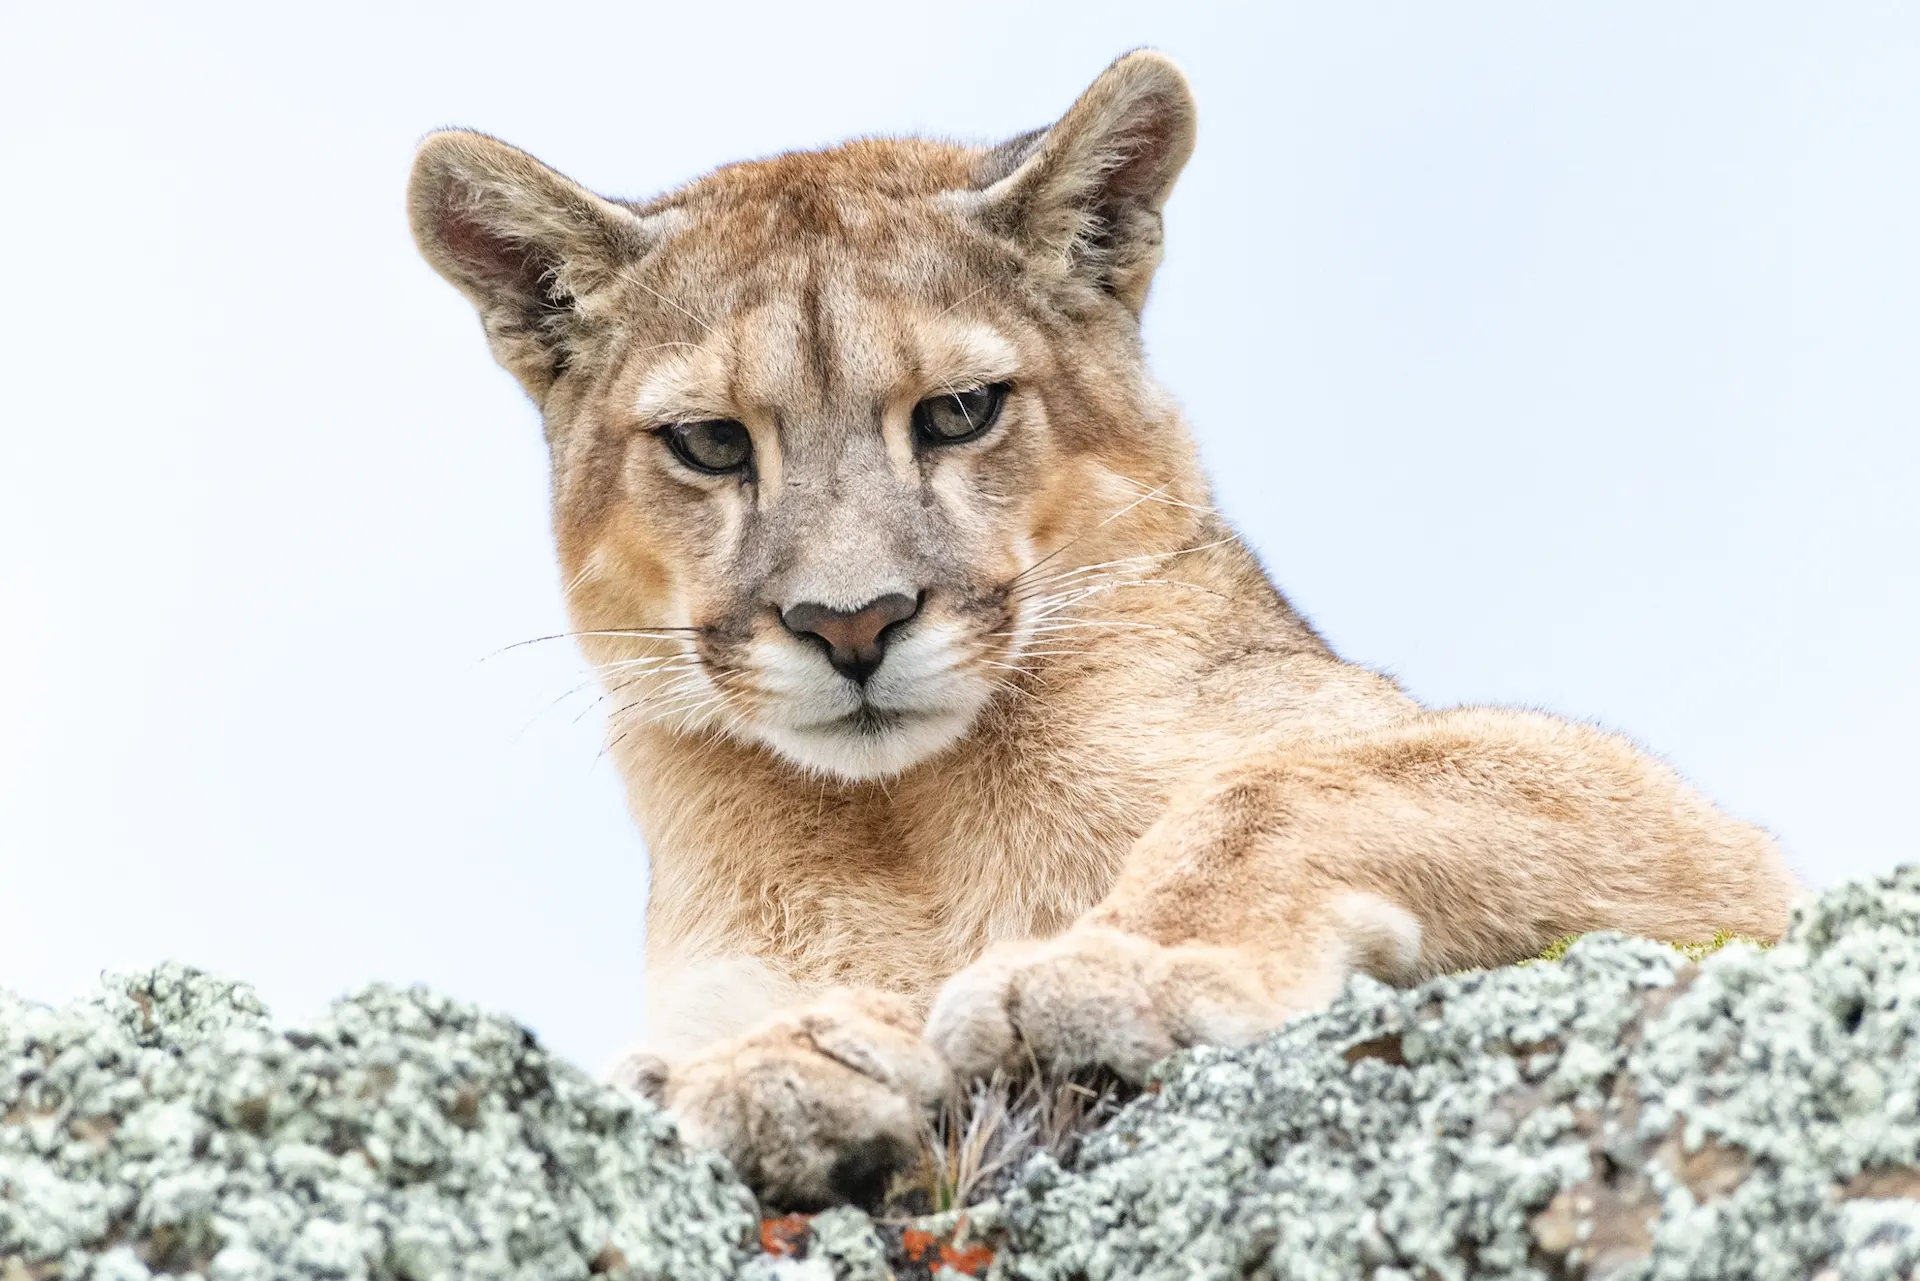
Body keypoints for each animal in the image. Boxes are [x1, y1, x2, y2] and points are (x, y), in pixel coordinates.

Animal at [407, 51, 1797, 1210]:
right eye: (707, 443)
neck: (905, 828)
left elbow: (1283, 787)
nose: (852, 623)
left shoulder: (1709, 849)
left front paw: (1114, 965)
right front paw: (768, 1067)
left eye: (960, 412)